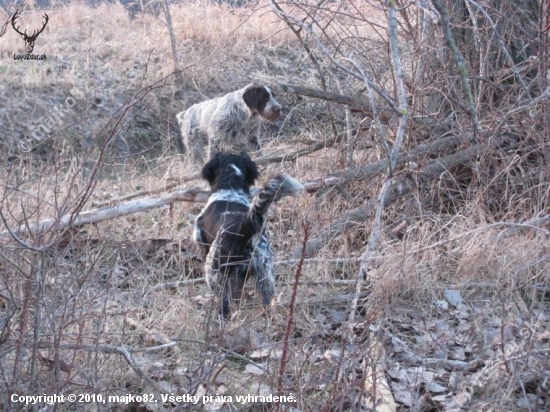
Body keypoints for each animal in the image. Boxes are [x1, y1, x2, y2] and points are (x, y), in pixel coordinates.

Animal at [194, 153, 304, 318]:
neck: (230, 191)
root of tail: (243, 228)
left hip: (215, 274)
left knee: (224, 305)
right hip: (265, 274)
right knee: (267, 302)